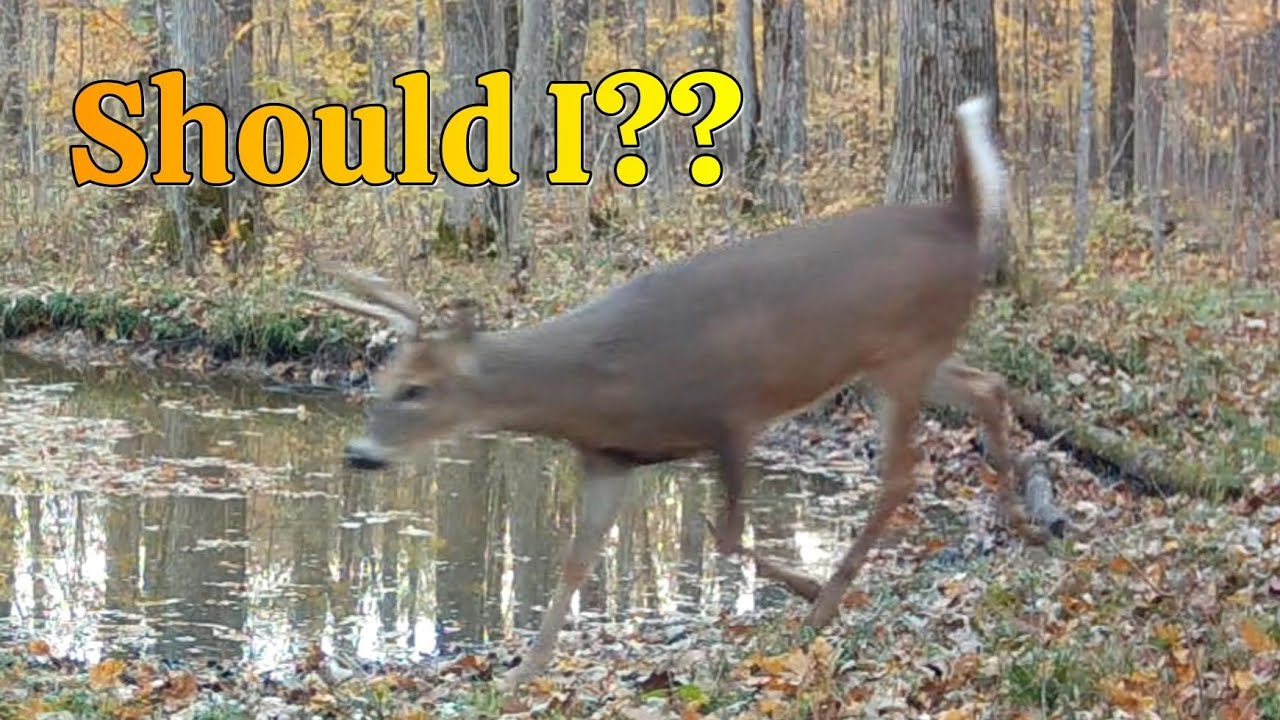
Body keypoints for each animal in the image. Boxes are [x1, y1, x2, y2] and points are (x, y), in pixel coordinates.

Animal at [303, 95, 1038, 691]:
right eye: (380, 380)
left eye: (416, 389)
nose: (358, 453)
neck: (605, 376)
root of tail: (961, 218)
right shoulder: (610, 458)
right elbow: (574, 564)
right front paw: (522, 675)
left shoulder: (731, 417)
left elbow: (725, 536)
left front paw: (804, 589)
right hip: (902, 359)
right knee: (990, 386)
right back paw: (1015, 519)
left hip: (903, 356)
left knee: (899, 474)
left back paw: (830, 600)